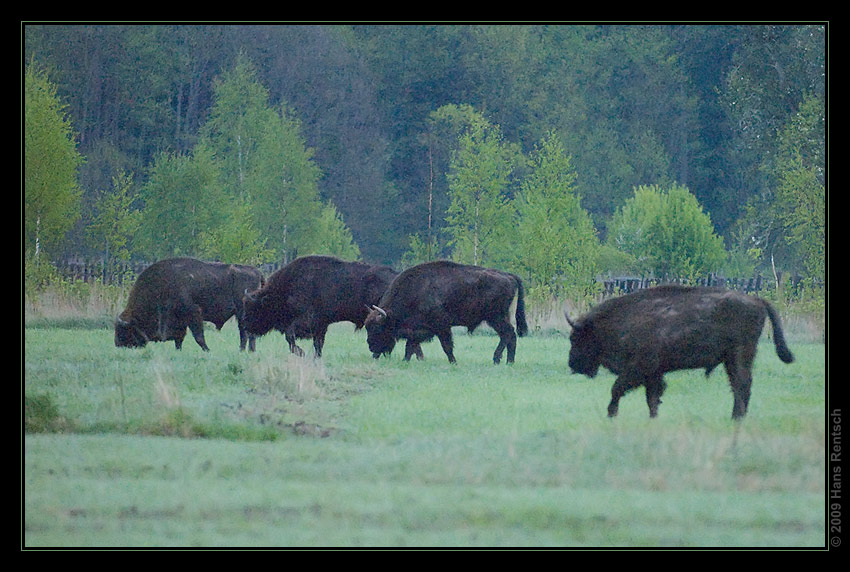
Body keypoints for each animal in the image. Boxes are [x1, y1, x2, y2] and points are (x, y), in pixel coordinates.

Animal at [113, 258, 262, 348]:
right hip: (241, 315)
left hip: (242, 312)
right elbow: (180, 338)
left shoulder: (193, 313)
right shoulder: (180, 320)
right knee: (245, 333)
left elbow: (198, 336)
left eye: (123, 329)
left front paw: (208, 351)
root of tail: (257, 272)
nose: (117, 344)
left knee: (247, 334)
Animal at [240, 255, 420, 358]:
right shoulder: (321, 324)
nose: (246, 326)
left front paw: (301, 353)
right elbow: (318, 342)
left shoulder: (307, 321)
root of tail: (395, 277)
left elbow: (290, 336)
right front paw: (316, 356)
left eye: (255, 309)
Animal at [362, 260, 528, 362]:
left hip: (495, 317)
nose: (370, 346)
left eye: (377, 328)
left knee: (508, 334)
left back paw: (500, 360)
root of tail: (509, 276)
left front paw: (453, 362)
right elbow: (411, 346)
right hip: (499, 317)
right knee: (508, 336)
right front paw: (405, 360)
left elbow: (446, 346)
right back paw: (506, 361)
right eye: (367, 327)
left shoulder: (441, 327)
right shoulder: (420, 330)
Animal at [564, 286, 796, 420]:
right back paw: (736, 417)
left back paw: (737, 417)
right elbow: (652, 396)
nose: (572, 364)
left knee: (742, 384)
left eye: (576, 338)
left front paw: (611, 413)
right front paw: (653, 417)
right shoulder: (654, 373)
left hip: (739, 354)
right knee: (739, 385)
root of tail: (757, 300)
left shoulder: (639, 368)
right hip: (731, 359)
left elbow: (617, 388)